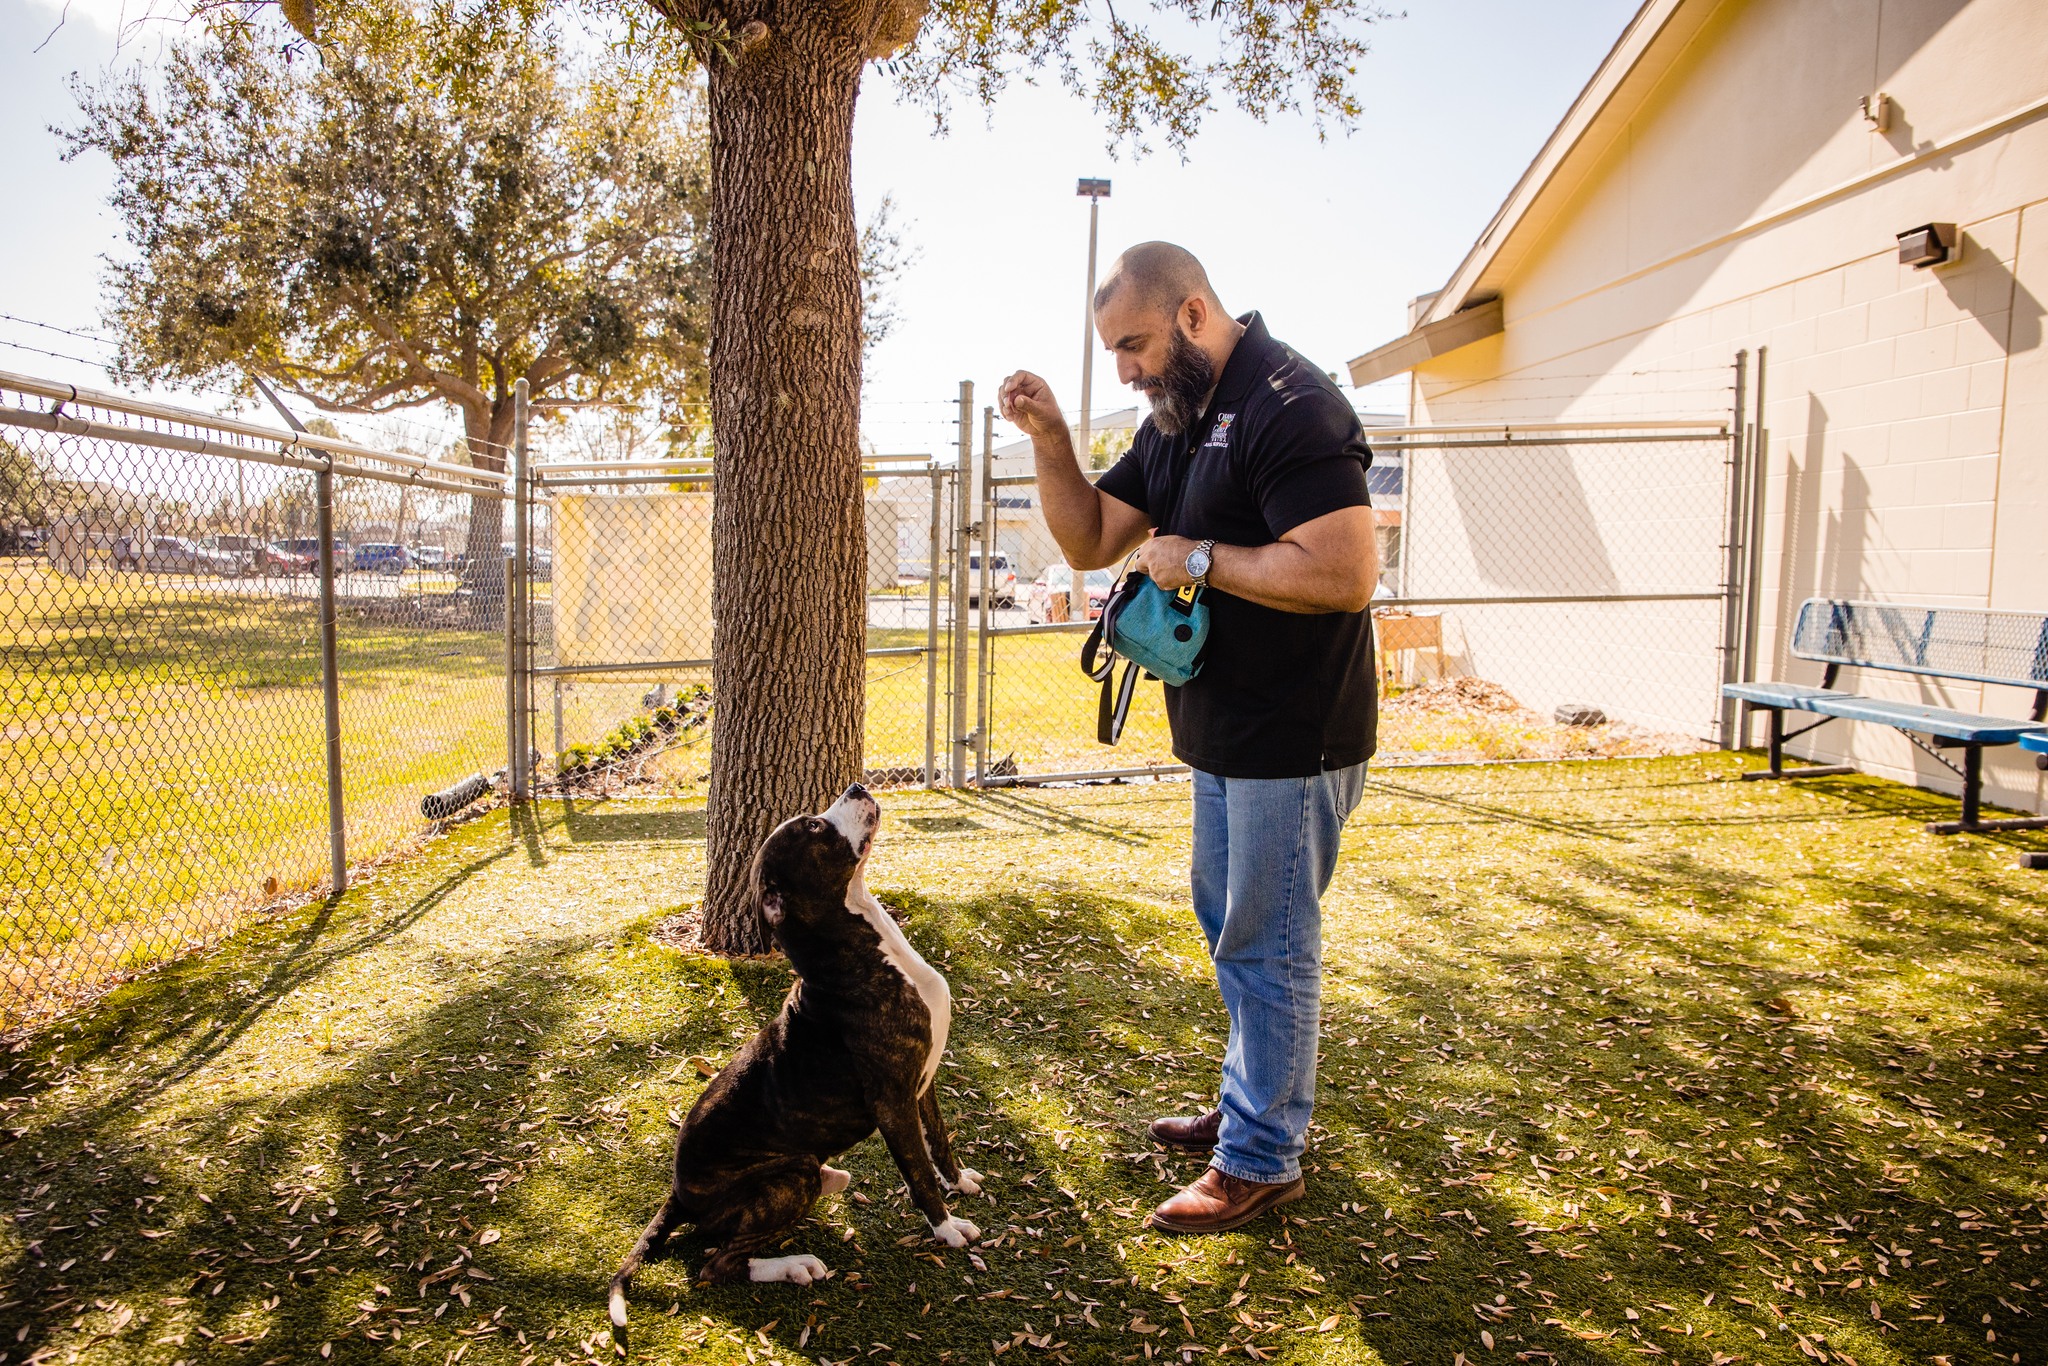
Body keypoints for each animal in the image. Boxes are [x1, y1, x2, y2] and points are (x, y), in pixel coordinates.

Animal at [602, 786, 978, 1343]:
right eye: (815, 828)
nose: (856, 789)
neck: (858, 951)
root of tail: (678, 1194)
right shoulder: (893, 1103)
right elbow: (918, 1173)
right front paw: (947, 1228)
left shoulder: (922, 1086)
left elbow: (939, 1144)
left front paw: (959, 1181)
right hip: (789, 1176)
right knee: (716, 1264)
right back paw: (794, 1264)